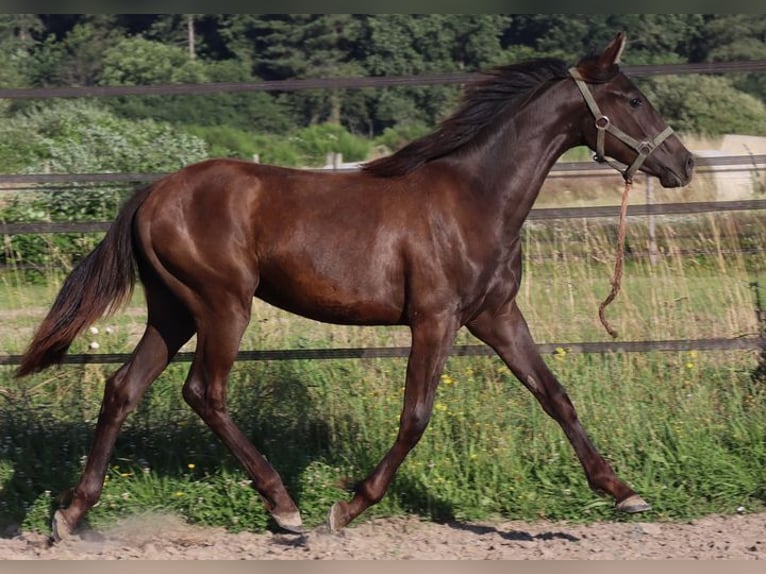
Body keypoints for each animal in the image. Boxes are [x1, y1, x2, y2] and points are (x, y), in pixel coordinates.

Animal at [17, 33, 694, 540]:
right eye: (632, 98)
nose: (683, 164)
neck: (475, 199)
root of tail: (153, 193)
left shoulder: (497, 315)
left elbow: (555, 396)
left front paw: (623, 492)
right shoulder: (435, 319)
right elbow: (416, 416)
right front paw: (347, 506)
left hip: (173, 312)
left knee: (122, 389)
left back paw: (71, 513)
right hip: (222, 306)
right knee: (204, 392)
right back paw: (283, 507)